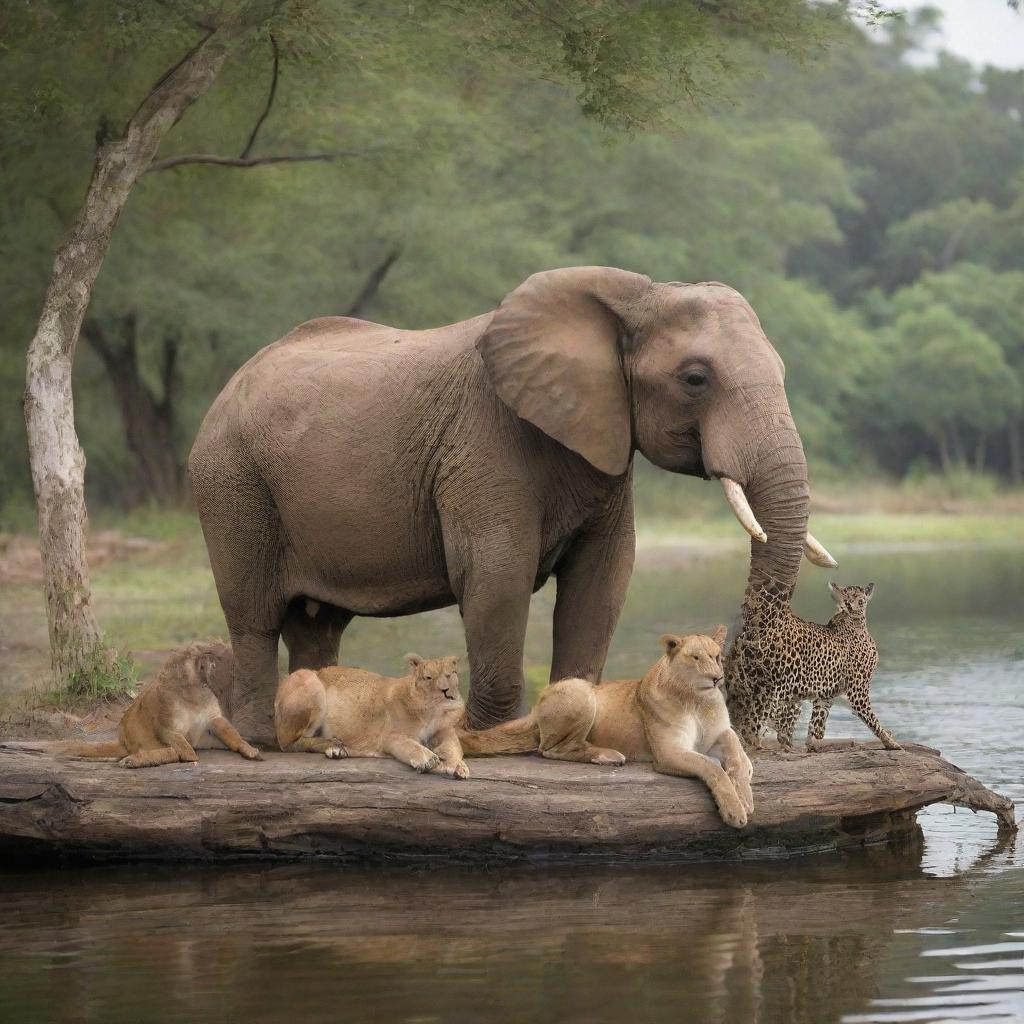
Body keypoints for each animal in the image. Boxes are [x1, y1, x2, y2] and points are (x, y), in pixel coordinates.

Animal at [188, 268, 835, 741]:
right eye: (695, 378)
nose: (730, 670)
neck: (631, 296)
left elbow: (603, 579)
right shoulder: (483, 445)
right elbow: (496, 576)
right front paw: (491, 736)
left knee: (318, 625)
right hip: (232, 483)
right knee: (254, 617)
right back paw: (260, 738)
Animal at [724, 581, 901, 757]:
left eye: (857, 596)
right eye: (847, 596)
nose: (850, 603)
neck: (855, 620)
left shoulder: (826, 695)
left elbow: (817, 723)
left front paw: (813, 745)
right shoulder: (858, 690)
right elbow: (873, 719)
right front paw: (891, 742)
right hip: (773, 692)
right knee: (750, 725)